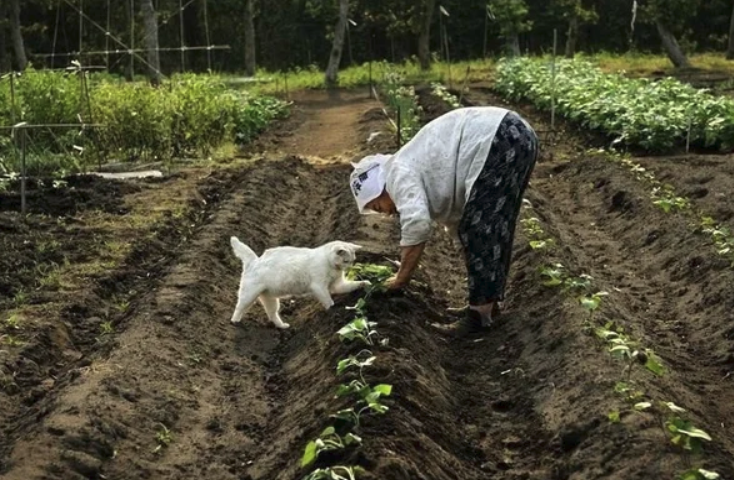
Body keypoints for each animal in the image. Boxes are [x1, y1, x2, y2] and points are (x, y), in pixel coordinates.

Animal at [229, 237, 370, 330]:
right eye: (346, 261)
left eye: (352, 261)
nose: (349, 268)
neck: (332, 266)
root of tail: (254, 261)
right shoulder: (319, 287)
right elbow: (329, 301)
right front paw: (333, 310)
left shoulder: (337, 285)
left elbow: (353, 285)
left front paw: (366, 283)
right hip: (248, 296)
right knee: (239, 308)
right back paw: (235, 322)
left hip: (270, 300)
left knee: (272, 315)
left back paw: (282, 326)